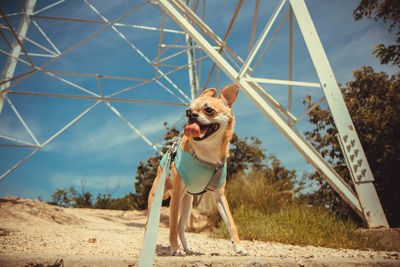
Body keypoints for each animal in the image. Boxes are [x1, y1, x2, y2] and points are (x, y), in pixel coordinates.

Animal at [148, 85, 247, 256]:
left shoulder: (219, 195)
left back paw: (187, 249)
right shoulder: (175, 197)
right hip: (158, 197)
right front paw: (175, 249)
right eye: (187, 111)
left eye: (209, 110)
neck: (207, 153)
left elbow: (231, 223)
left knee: (181, 228)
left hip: (187, 205)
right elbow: (171, 226)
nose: (191, 115)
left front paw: (239, 247)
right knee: (154, 224)